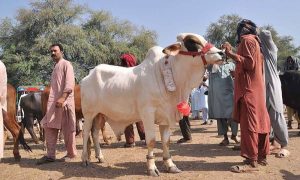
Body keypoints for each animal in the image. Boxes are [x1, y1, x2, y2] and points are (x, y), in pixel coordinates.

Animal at [81, 32, 224, 176]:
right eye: (192, 42)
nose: (222, 53)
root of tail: (86, 77)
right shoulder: (148, 113)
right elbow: (151, 140)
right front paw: (151, 167)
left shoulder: (166, 117)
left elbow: (166, 141)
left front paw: (170, 165)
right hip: (88, 113)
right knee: (86, 132)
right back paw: (85, 159)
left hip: (100, 114)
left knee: (94, 133)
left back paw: (100, 156)